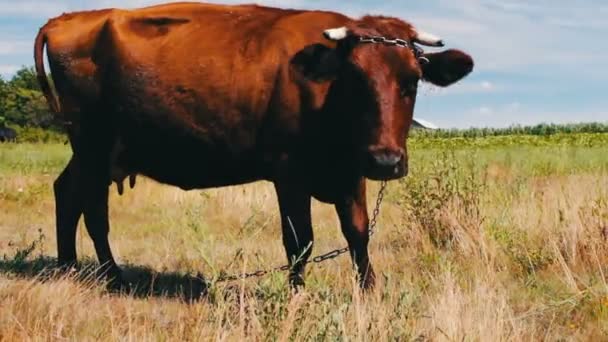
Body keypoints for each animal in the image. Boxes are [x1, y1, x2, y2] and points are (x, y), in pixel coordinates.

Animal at [34, 1, 476, 290]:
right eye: (354, 79)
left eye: (412, 80)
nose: (385, 161)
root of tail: (68, 19)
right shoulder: (289, 173)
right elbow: (300, 241)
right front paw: (297, 296)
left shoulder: (351, 171)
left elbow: (357, 233)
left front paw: (368, 292)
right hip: (93, 144)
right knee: (92, 208)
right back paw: (110, 276)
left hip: (98, 151)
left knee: (67, 193)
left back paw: (68, 268)